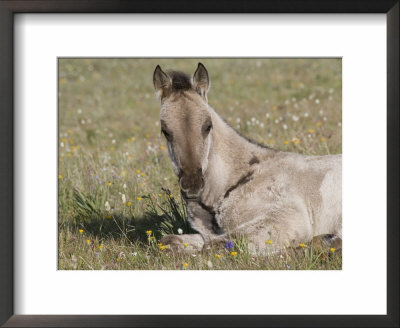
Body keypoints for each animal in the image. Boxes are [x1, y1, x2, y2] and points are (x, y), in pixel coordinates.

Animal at [152, 62, 340, 255]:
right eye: (165, 131)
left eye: (208, 126)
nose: (192, 186)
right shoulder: (208, 234)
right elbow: (170, 240)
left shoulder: (287, 217)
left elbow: (213, 246)